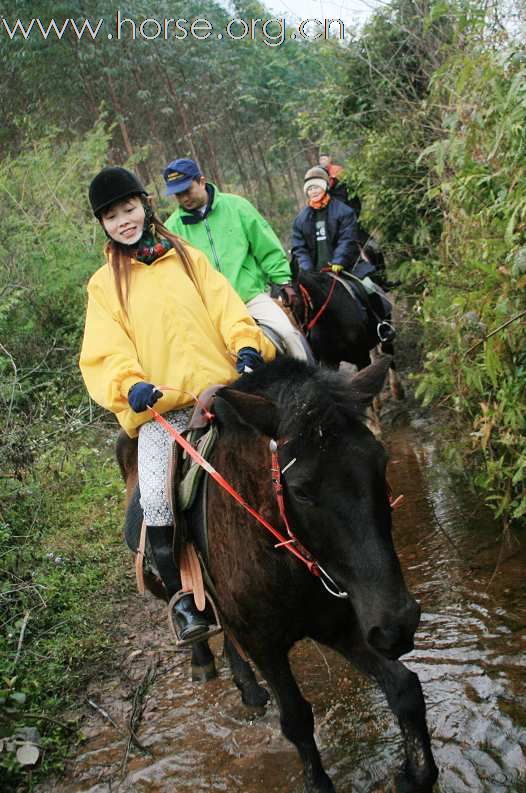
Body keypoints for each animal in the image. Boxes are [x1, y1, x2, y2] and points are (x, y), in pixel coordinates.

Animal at [119, 358, 438, 792]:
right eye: (301, 490)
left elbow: (404, 687)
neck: (283, 562)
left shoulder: (342, 626)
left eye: (381, 461)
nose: (399, 624)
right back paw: (201, 657)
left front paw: (416, 774)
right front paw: (318, 783)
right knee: (185, 604)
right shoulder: (265, 645)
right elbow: (297, 720)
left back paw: (249, 690)